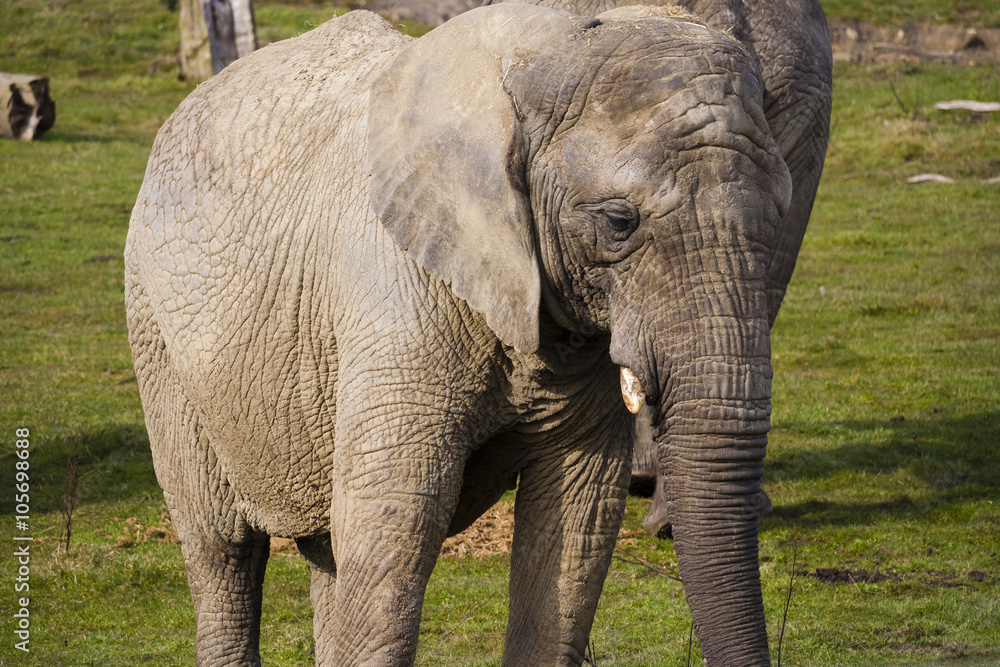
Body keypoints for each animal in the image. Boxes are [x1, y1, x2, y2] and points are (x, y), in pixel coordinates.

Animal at [127, 5, 788, 667]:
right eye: (618, 222)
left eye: (783, 216)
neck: (545, 51)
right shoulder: (393, 292)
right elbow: (397, 520)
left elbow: (577, 520)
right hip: (155, 331)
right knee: (224, 549)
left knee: (325, 551)